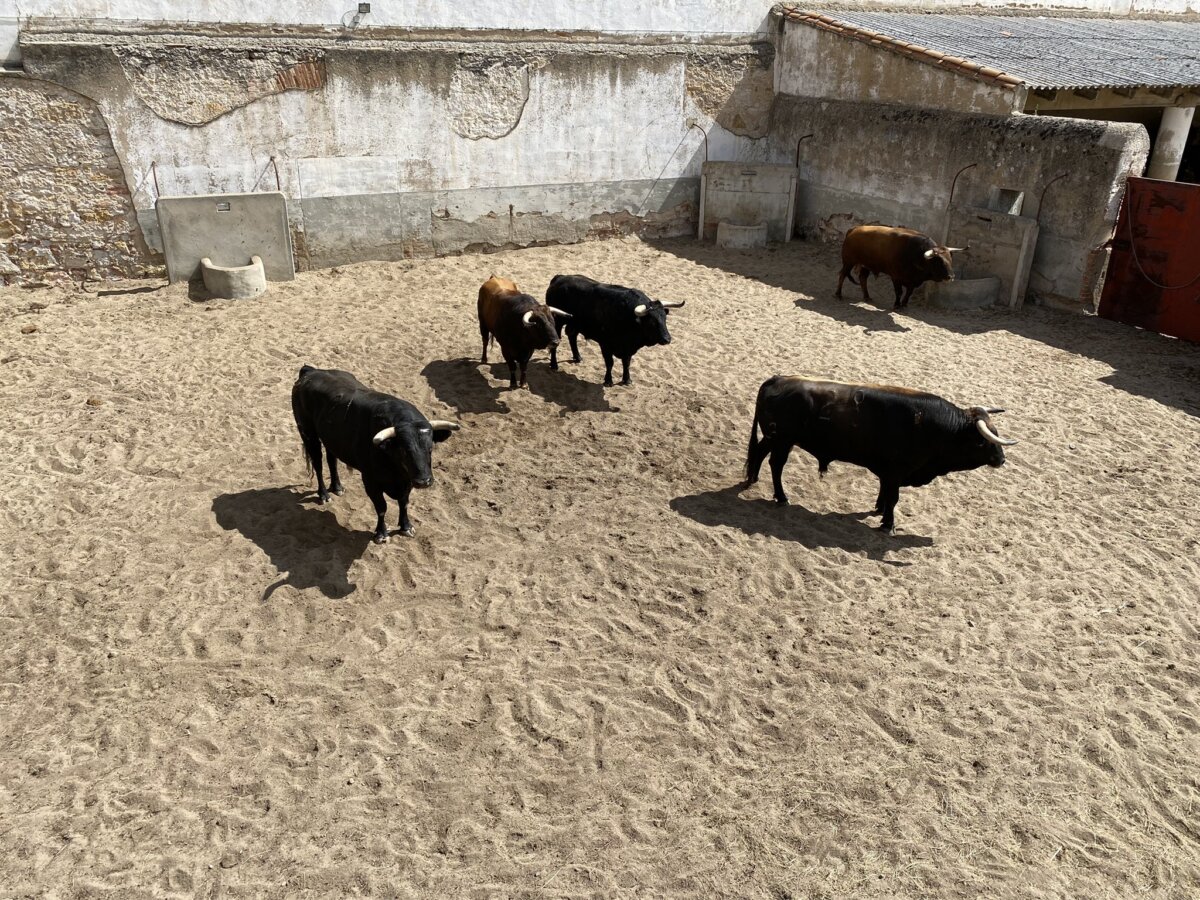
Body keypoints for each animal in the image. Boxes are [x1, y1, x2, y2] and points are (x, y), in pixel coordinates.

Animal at [291, 365, 460, 544]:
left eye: (430, 448)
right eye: (404, 451)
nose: (424, 481)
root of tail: (311, 370)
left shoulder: (407, 481)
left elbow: (404, 503)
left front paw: (406, 526)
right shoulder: (370, 481)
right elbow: (381, 507)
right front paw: (381, 533)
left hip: (331, 439)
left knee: (332, 460)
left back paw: (337, 487)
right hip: (308, 433)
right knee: (318, 463)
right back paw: (323, 494)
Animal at [544, 274, 684, 386]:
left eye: (664, 318)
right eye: (652, 321)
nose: (667, 339)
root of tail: (559, 278)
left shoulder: (628, 348)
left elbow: (626, 363)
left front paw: (627, 380)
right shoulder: (605, 344)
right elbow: (609, 362)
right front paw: (608, 381)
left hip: (574, 323)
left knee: (572, 335)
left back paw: (578, 357)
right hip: (557, 321)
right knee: (556, 342)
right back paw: (554, 365)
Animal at [744, 375, 1017, 534]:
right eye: (982, 441)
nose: (1001, 459)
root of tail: (776, 379)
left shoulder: (888, 472)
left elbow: (885, 492)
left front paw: (879, 509)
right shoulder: (896, 472)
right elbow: (893, 498)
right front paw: (888, 524)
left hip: (776, 439)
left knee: (760, 453)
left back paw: (752, 479)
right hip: (782, 440)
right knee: (776, 464)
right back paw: (781, 497)